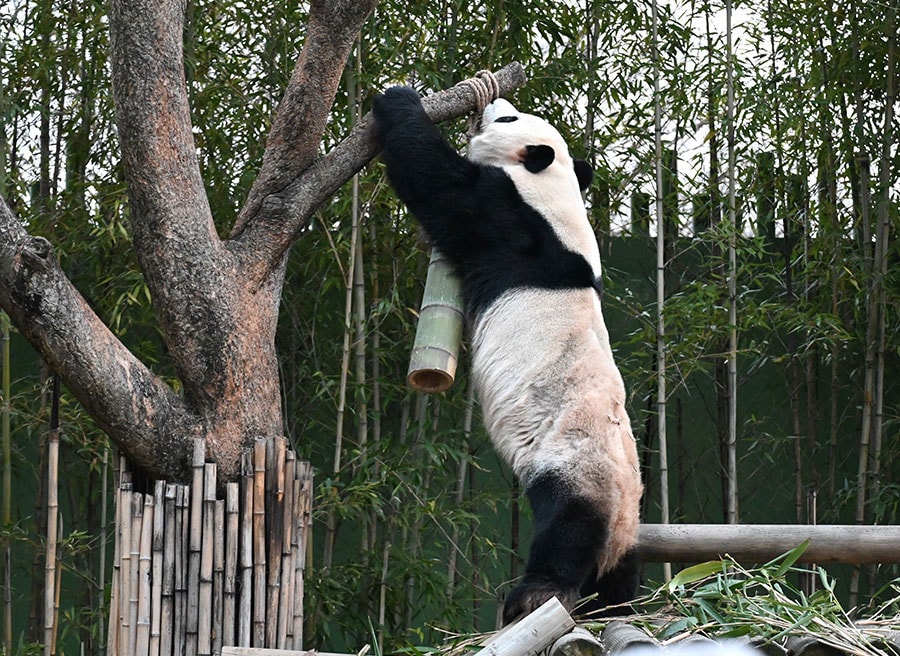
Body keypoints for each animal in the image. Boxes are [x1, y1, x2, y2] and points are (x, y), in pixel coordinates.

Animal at [370, 87, 640, 624]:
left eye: (510, 119)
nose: (497, 102)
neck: (552, 191)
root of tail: (621, 516)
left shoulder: (507, 220)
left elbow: (437, 183)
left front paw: (400, 100)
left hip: (577, 465)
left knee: (567, 529)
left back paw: (533, 596)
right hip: (625, 519)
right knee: (619, 573)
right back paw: (615, 604)